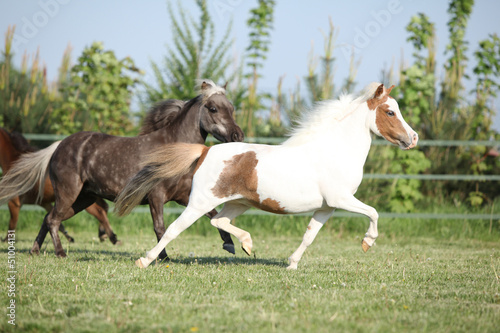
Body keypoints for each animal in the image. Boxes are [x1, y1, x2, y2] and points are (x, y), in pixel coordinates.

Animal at [0, 80, 243, 256]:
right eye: (213, 108)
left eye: (231, 108)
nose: (237, 135)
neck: (173, 151)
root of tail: (59, 145)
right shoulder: (156, 196)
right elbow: (160, 228)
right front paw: (162, 257)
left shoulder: (182, 196)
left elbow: (214, 217)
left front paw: (229, 245)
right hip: (69, 193)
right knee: (52, 220)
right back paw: (60, 253)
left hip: (84, 199)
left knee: (49, 218)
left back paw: (35, 250)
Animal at [116, 83, 418, 270]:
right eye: (390, 111)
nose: (412, 138)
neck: (334, 151)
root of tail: (204, 151)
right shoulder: (342, 199)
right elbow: (374, 213)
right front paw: (368, 243)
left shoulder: (327, 208)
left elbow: (310, 235)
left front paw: (292, 263)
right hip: (200, 202)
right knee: (174, 229)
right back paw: (144, 261)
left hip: (236, 203)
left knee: (219, 221)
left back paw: (247, 245)